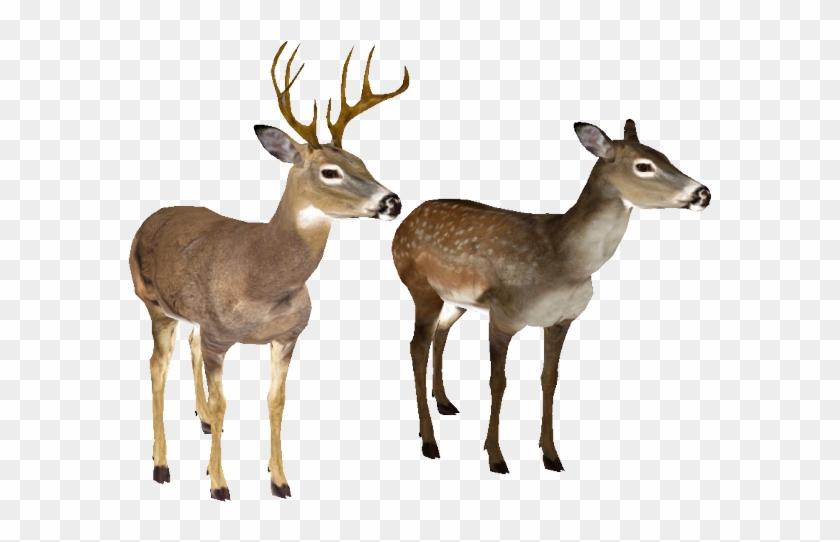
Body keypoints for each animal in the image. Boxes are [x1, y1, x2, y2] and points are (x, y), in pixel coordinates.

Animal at [128, 41, 409, 500]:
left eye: (362, 162)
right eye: (330, 171)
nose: (392, 202)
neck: (261, 275)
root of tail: (151, 218)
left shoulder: (288, 335)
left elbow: (276, 401)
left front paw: (279, 480)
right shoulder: (220, 336)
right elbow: (225, 402)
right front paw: (219, 484)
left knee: (189, 343)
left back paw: (202, 421)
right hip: (152, 303)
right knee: (157, 367)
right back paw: (161, 463)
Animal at [392, 120, 711, 474]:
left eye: (665, 156)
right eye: (644, 166)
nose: (703, 193)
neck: (563, 262)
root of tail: (405, 222)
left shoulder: (561, 320)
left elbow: (549, 379)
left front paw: (551, 455)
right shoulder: (503, 315)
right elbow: (498, 381)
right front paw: (496, 457)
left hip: (456, 300)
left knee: (441, 333)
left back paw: (445, 403)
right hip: (420, 286)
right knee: (417, 346)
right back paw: (429, 440)